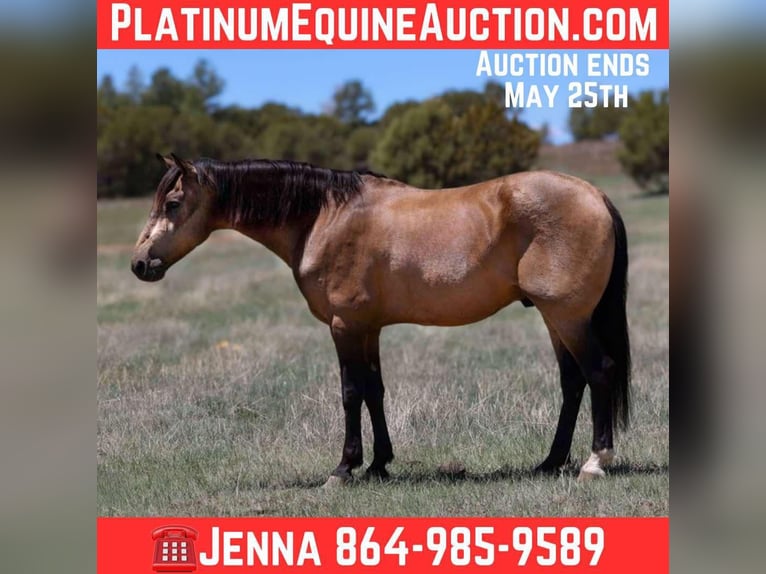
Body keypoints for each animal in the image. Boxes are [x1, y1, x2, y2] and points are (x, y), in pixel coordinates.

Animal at [131, 154, 631, 486]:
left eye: (172, 204)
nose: (140, 264)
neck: (323, 217)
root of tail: (595, 195)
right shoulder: (366, 327)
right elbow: (375, 391)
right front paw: (378, 464)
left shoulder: (344, 326)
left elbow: (351, 393)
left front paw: (343, 468)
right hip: (554, 318)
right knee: (572, 381)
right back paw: (550, 462)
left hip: (566, 315)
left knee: (598, 371)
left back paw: (595, 462)